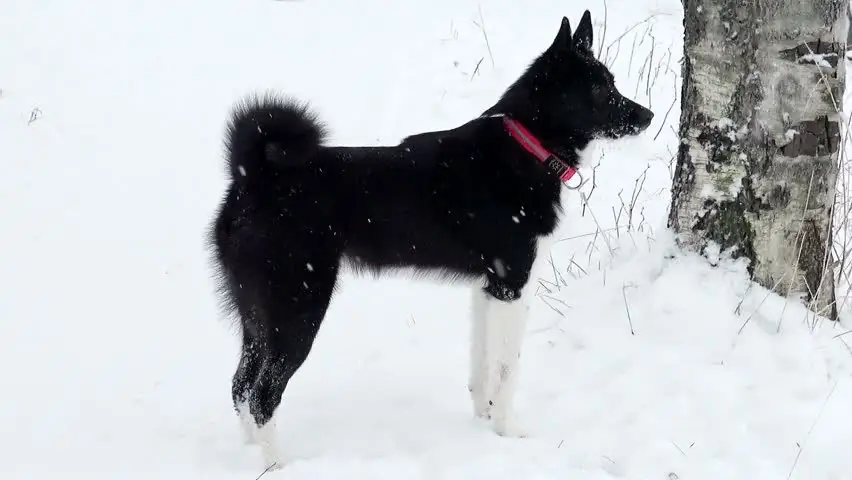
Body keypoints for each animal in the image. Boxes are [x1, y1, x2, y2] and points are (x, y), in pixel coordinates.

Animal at [206, 10, 652, 468]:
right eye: (600, 89)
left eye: (613, 82)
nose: (648, 116)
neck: (526, 147)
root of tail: (253, 175)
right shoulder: (513, 286)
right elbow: (508, 368)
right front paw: (508, 432)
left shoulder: (488, 287)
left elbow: (482, 363)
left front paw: (484, 418)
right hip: (297, 307)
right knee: (262, 395)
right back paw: (280, 464)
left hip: (256, 314)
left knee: (240, 385)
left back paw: (251, 453)